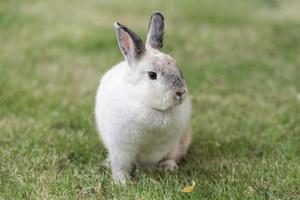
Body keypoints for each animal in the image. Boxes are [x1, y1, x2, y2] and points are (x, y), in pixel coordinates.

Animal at [95, 11, 192, 184]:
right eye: (152, 75)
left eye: (178, 68)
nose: (180, 92)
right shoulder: (121, 148)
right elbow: (120, 166)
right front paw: (122, 182)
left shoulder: (164, 147)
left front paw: (158, 169)